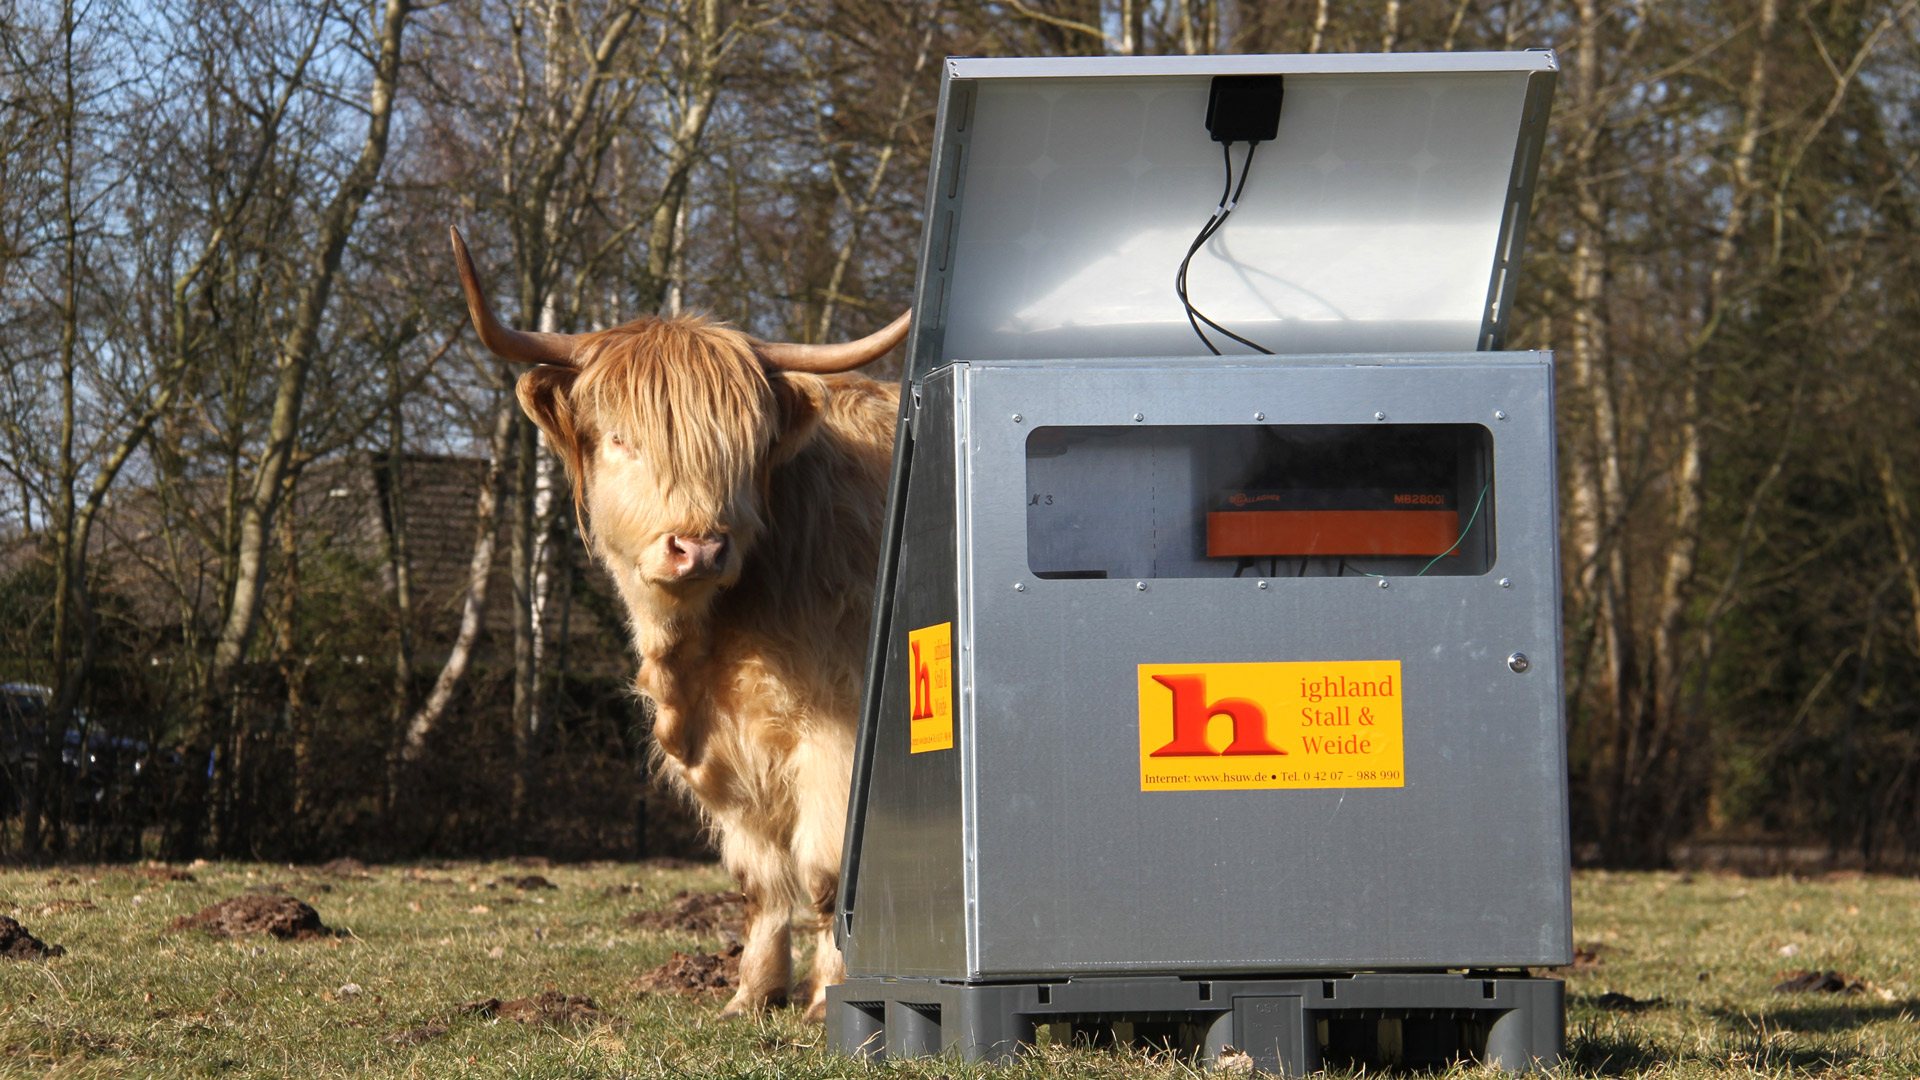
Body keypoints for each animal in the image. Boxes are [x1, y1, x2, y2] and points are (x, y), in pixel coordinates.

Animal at [449, 226, 906, 1014]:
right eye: (621, 439)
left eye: (744, 446)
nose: (700, 546)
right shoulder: (728, 757)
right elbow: (761, 884)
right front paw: (751, 997)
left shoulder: (838, 737)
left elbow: (825, 873)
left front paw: (828, 1002)